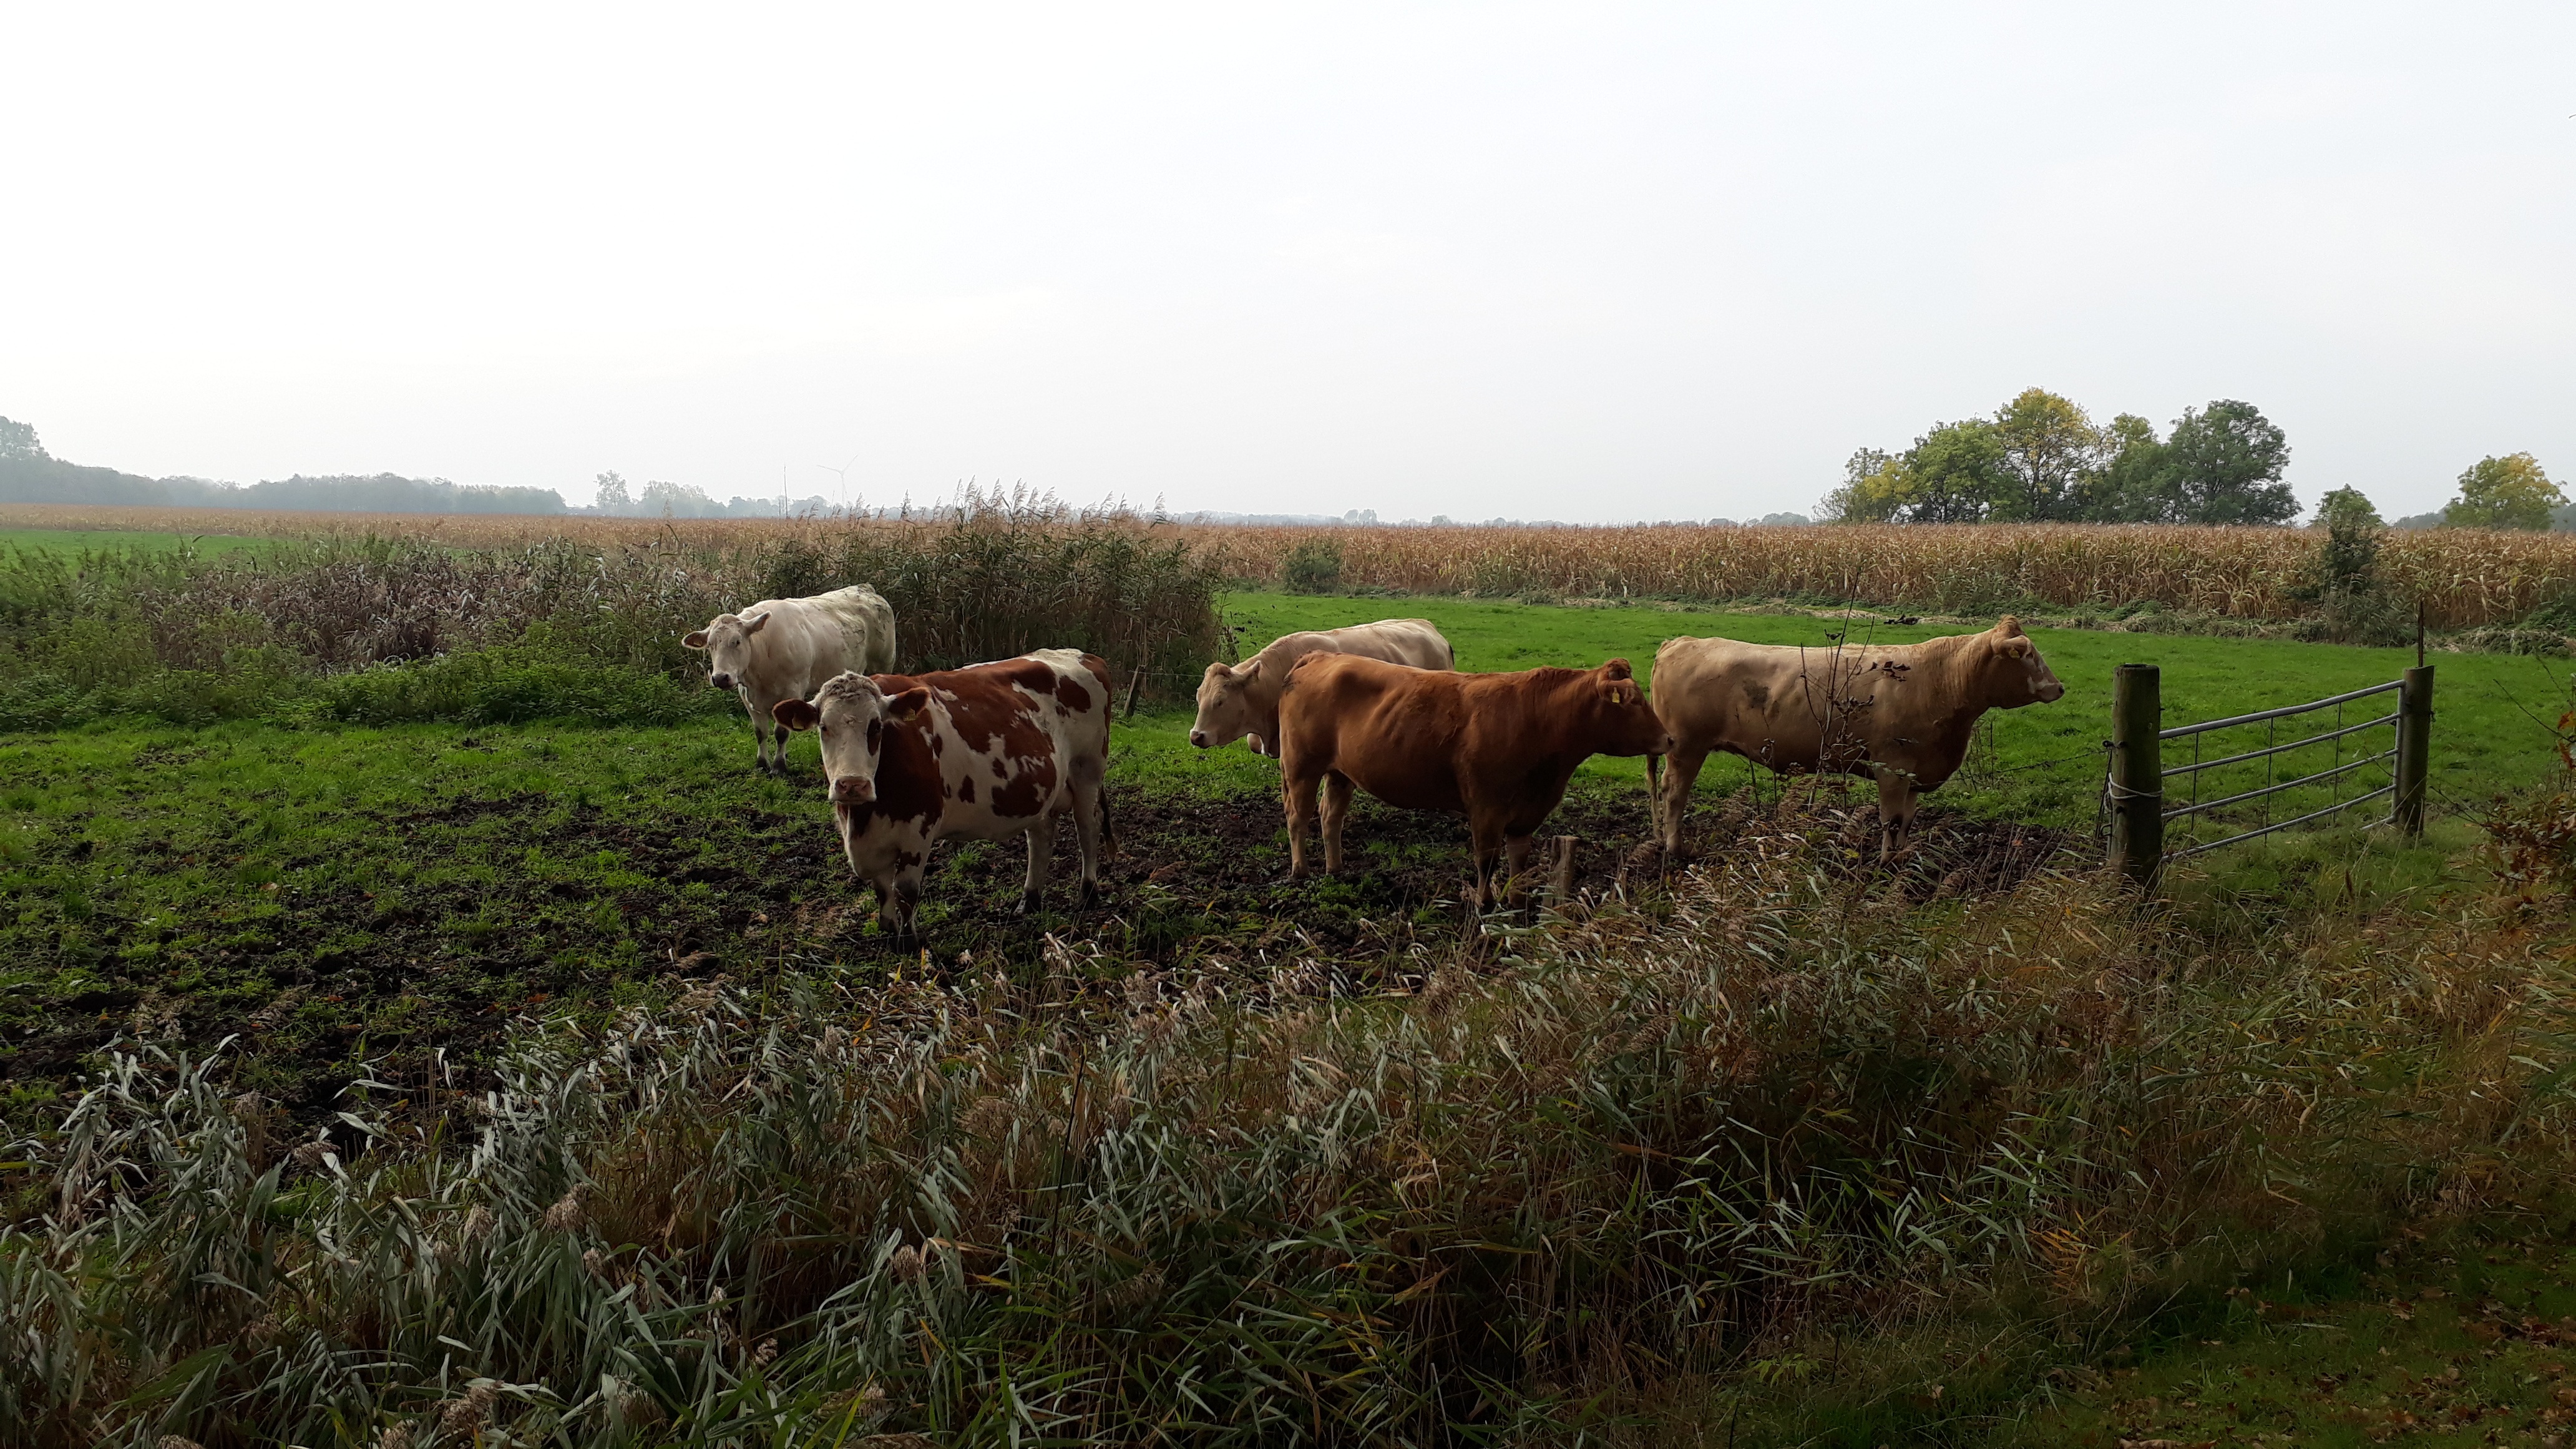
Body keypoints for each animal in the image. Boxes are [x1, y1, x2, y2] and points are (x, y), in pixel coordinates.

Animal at [684, 585, 898, 775]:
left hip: (883, 664)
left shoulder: (792, 690)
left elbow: (781, 733)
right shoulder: (746, 695)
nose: (720, 678)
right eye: (710, 645)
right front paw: (761, 765)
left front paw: (779, 767)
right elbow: (760, 732)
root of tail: (866, 589)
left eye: (736, 641)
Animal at [771, 648, 1112, 945]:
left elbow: (905, 891)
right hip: (1041, 789)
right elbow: (883, 891)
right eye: (823, 727)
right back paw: (1029, 901)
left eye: (876, 726)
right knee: (1041, 838)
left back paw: (1088, 894)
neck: (863, 819)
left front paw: (909, 942)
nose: (852, 784)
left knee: (1088, 829)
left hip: (1088, 771)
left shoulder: (919, 828)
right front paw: (888, 932)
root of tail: (1082, 654)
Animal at [1274, 654, 1672, 905]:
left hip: (1340, 773)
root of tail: (1321, 655)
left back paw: (1336, 870)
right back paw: (1300, 871)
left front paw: (1516, 900)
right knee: (1297, 817)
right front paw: (1485, 902)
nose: (1669, 739)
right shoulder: (1486, 807)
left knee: (1330, 817)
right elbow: (1487, 860)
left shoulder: (1527, 812)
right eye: (1633, 701)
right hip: (1301, 766)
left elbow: (1518, 860)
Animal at [1649, 616, 2066, 859]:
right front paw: (1884, 866)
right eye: (2027, 656)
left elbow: (1908, 822)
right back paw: (1675, 849)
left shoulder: (1914, 772)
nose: (2059, 688)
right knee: (1674, 794)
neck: (1942, 679)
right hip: (1686, 747)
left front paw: (1899, 862)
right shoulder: (1892, 768)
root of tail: (1681, 642)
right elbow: (1891, 821)